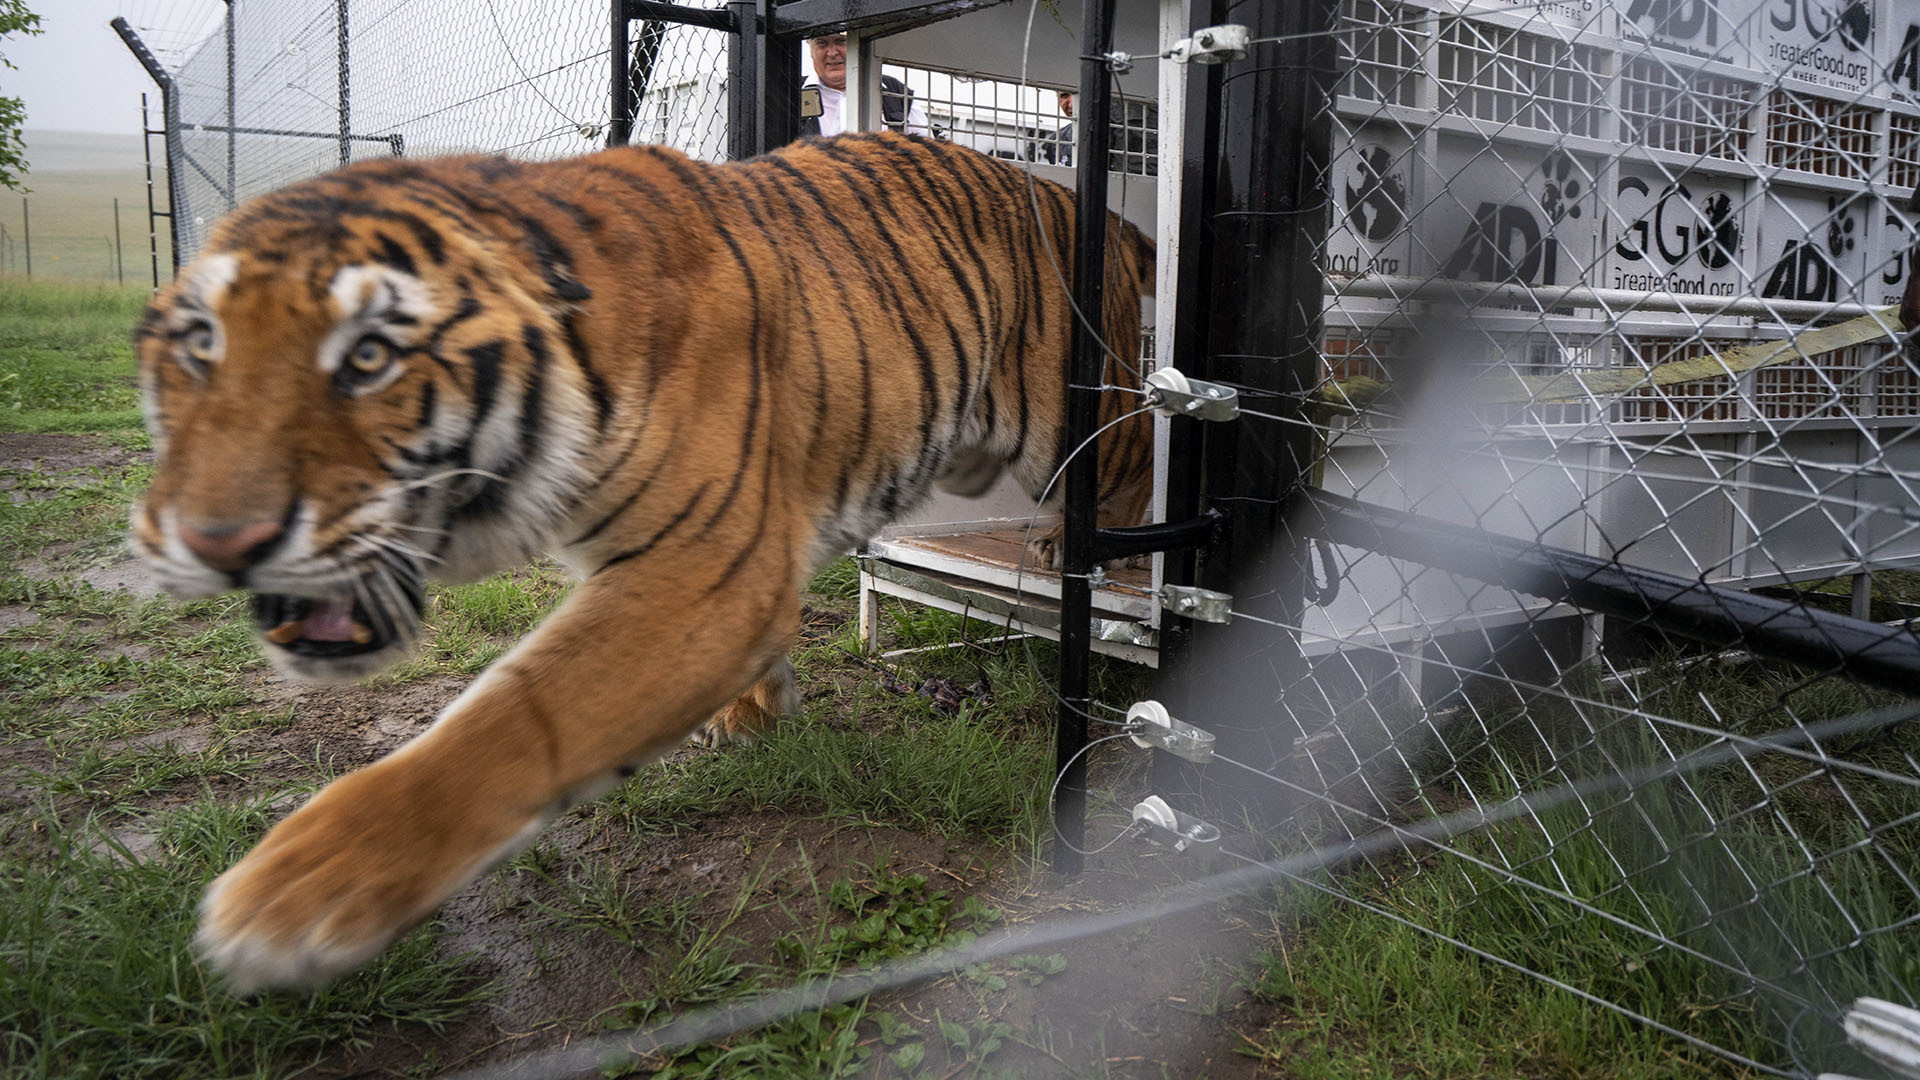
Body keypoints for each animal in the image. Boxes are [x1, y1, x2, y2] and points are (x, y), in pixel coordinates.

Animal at [139, 130, 1152, 991]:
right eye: (201, 346)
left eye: (368, 358)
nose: (213, 540)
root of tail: (1086, 201)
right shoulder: (739, 551)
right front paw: (754, 711)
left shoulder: (701, 576)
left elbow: (515, 717)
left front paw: (295, 889)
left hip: (1081, 423)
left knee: (1140, 463)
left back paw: (1095, 565)